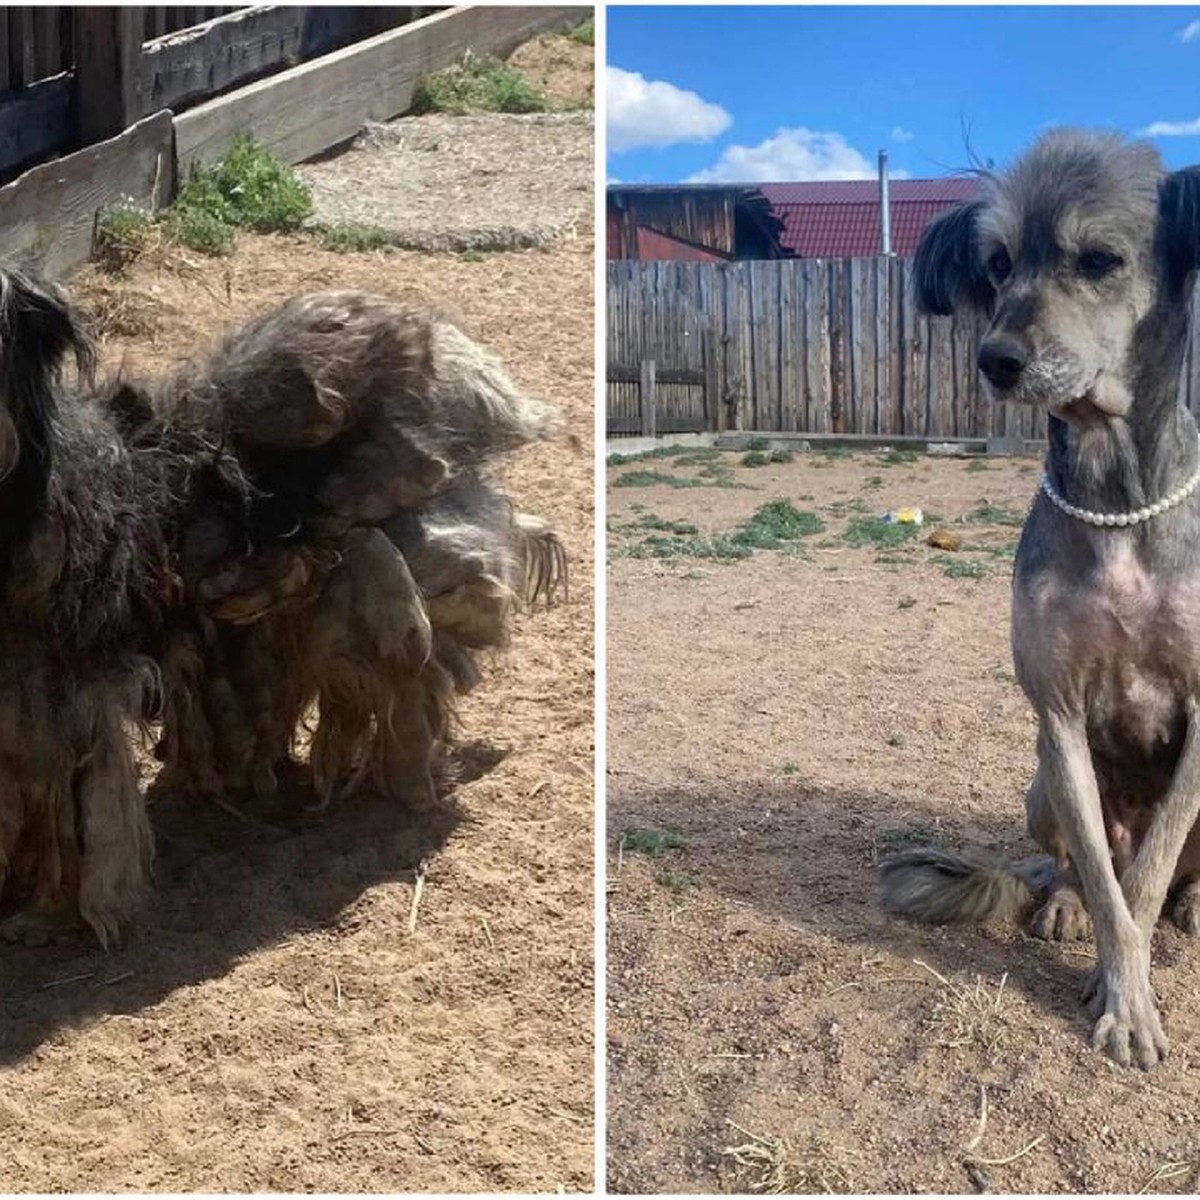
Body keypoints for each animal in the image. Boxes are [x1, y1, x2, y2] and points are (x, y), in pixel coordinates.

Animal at [878, 131, 1200, 1070]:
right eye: (998, 264)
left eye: (1099, 260)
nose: (997, 359)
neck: (1119, 499)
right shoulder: (1057, 717)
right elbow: (1104, 880)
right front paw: (1124, 996)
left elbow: (1146, 879)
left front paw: (1131, 990)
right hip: (1038, 787)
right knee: (1076, 864)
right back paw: (1060, 903)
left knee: (1172, 874)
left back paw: (1194, 907)